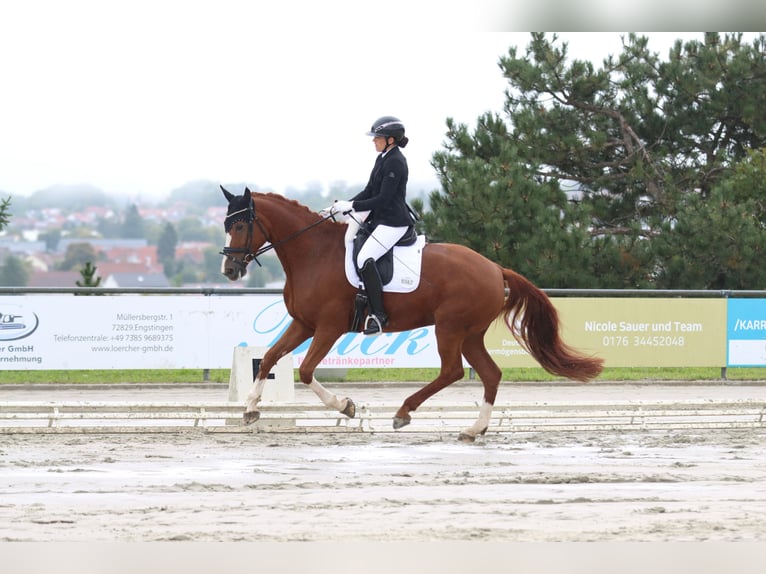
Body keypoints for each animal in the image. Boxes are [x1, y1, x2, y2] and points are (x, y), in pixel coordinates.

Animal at [220, 186, 604, 441]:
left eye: (239, 226)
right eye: (226, 225)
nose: (230, 270)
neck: (313, 253)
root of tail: (495, 268)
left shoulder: (328, 327)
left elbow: (307, 371)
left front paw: (346, 406)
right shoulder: (303, 323)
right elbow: (270, 357)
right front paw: (250, 409)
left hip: (450, 327)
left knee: (452, 371)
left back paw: (404, 412)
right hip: (470, 334)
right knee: (490, 374)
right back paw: (473, 429)